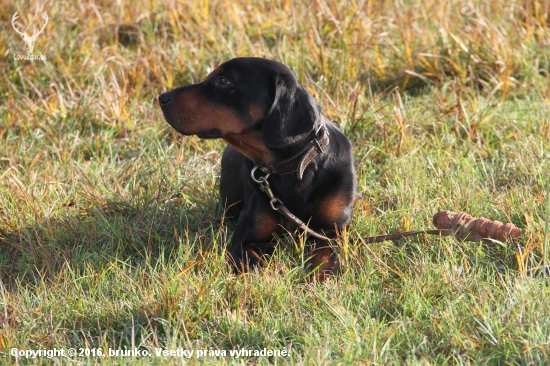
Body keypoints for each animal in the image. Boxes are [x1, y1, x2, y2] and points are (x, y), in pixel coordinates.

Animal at [160, 58, 358, 280]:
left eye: (224, 80)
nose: (162, 98)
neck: (294, 168)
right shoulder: (245, 241)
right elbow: (258, 268)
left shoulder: (331, 232)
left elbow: (325, 262)